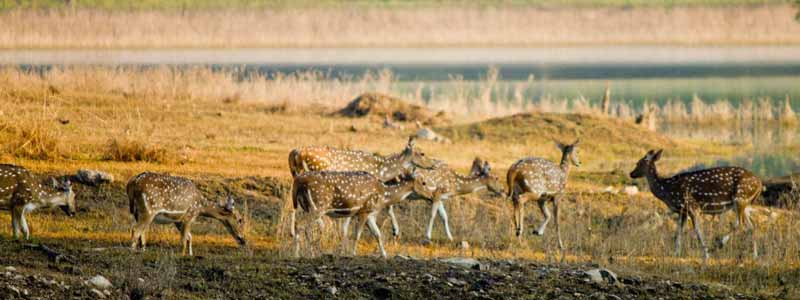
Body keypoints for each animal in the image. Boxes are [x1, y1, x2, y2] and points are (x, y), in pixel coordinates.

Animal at [290, 170, 434, 256]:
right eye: (424, 182)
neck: (384, 196)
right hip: (318, 206)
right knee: (300, 224)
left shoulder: (370, 214)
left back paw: (310, 253)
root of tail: (297, 182)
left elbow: (378, 234)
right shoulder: (364, 210)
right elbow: (357, 235)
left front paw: (384, 255)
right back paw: (297, 254)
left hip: (307, 206)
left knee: (306, 227)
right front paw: (353, 253)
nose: (432, 196)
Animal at [632, 150, 764, 260]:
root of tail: (760, 183)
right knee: (751, 226)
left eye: (639, 163)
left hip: (740, 198)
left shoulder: (692, 206)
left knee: (739, 223)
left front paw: (706, 254)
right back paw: (755, 256)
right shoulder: (682, 211)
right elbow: (679, 231)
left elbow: (698, 231)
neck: (667, 189)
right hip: (744, 203)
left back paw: (718, 244)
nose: (631, 173)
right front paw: (676, 253)